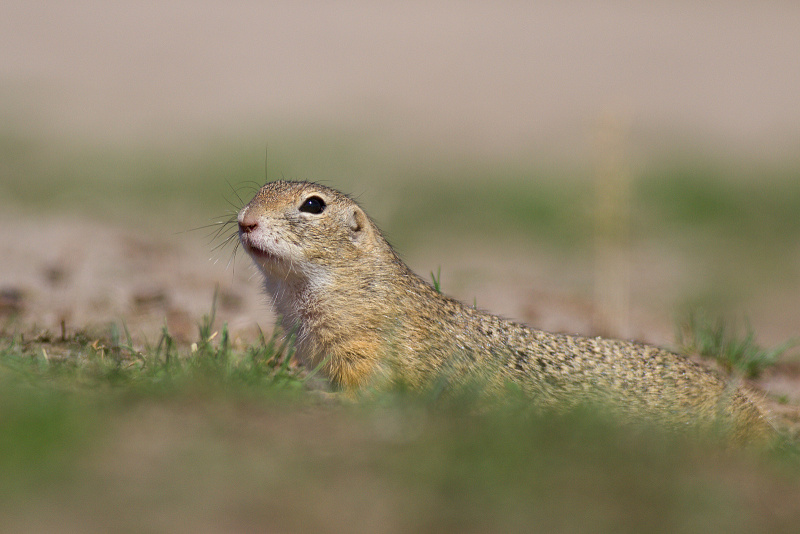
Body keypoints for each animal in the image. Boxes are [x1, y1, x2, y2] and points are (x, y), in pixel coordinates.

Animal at [234, 182, 772, 446]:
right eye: (259, 189)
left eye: (313, 205)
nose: (245, 220)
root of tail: (751, 412)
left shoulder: (367, 351)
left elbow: (366, 391)